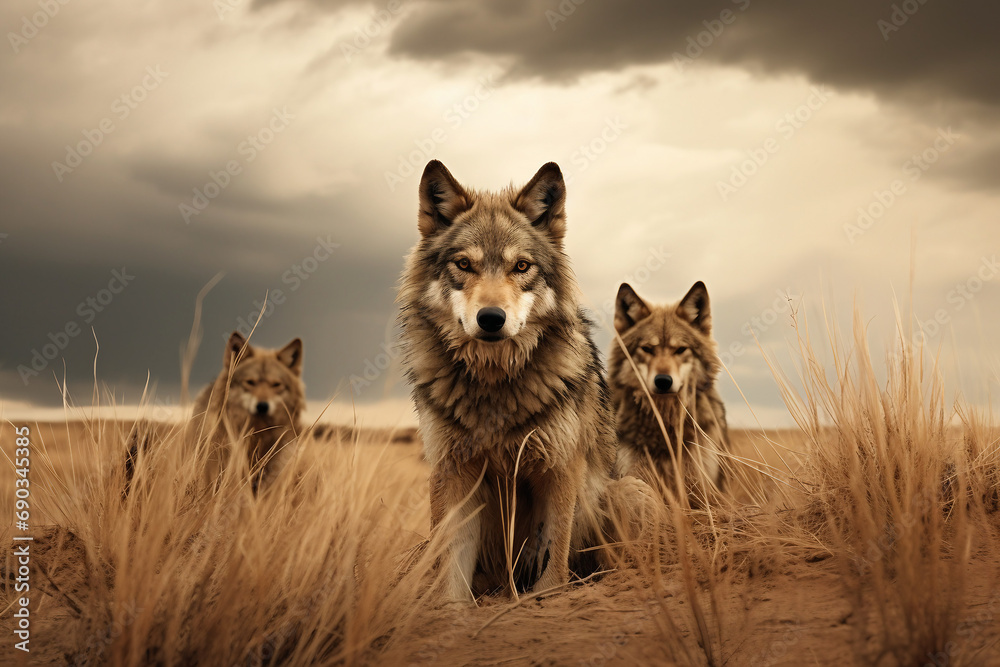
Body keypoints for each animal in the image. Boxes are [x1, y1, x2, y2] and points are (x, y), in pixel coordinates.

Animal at [398, 160, 639, 603]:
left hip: (629, 492)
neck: (495, 382)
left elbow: (553, 561)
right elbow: (450, 575)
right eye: (464, 264)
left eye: (521, 266)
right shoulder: (451, 473)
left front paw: (546, 599)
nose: (491, 318)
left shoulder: (559, 470)